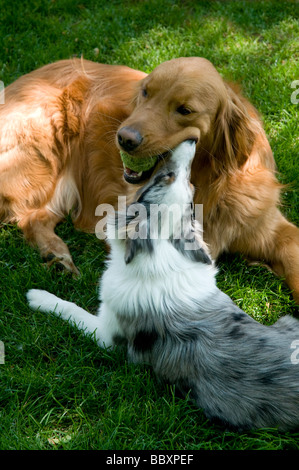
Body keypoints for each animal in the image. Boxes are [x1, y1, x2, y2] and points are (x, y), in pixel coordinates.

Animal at [27, 141, 299, 432]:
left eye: (165, 177)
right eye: (187, 189)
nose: (191, 142)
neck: (159, 247)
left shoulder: (106, 334)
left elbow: (71, 309)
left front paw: (39, 296)